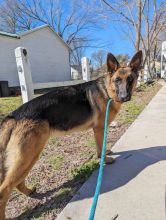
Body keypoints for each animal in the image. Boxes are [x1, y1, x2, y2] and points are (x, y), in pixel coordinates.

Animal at [0, 51, 141, 218]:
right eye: (117, 80)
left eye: (130, 79)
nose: (125, 97)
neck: (107, 90)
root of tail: (13, 116)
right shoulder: (99, 129)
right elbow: (100, 148)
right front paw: (105, 159)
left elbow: (102, 146)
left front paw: (106, 152)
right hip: (28, 156)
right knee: (5, 189)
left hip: (28, 158)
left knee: (17, 183)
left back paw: (29, 192)